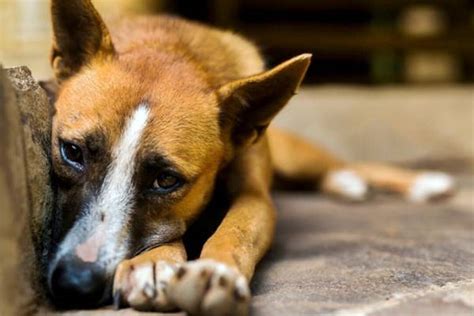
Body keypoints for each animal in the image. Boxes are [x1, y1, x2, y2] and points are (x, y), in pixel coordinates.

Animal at [45, 1, 456, 314]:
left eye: (166, 180)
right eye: (72, 152)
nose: (75, 283)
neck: (173, 49)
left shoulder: (256, 199)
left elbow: (236, 231)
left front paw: (215, 273)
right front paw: (156, 263)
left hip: (296, 156)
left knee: (348, 164)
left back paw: (414, 182)